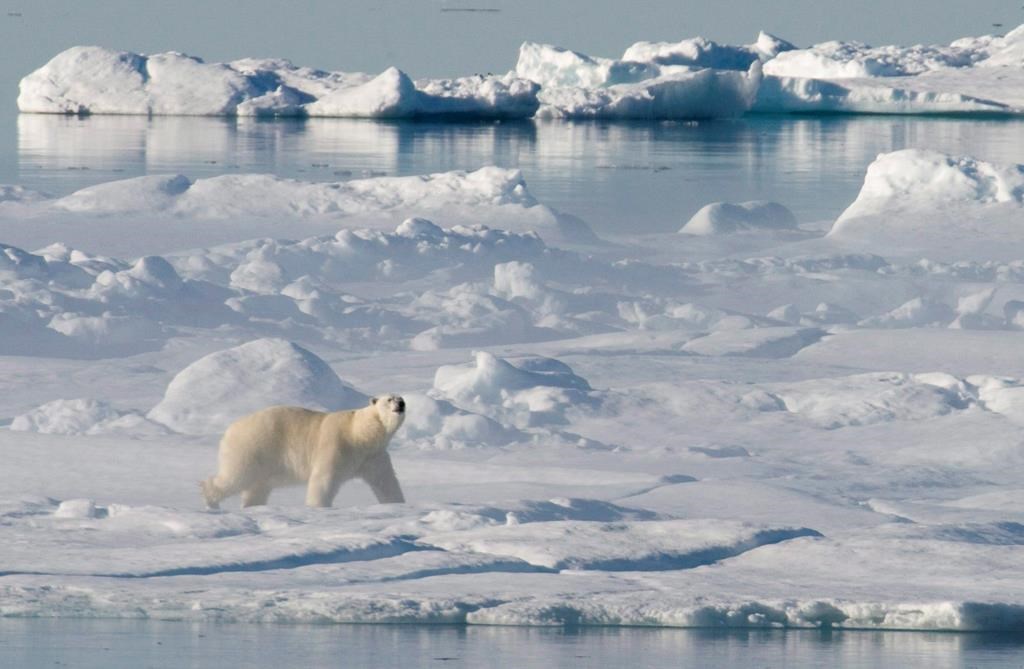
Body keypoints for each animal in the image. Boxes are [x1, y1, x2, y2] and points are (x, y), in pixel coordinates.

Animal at [200, 394, 406, 509]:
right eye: (389, 399)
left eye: (401, 398)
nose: (401, 403)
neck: (360, 434)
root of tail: (230, 429)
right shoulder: (337, 445)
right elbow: (323, 479)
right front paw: (318, 506)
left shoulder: (373, 456)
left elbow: (386, 482)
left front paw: (397, 504)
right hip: (253, 447)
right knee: (237, 476)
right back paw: (211, 500)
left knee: (257, 487)